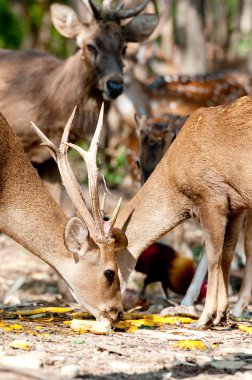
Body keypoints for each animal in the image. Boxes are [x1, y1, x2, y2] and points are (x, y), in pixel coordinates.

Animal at [112, 95, 252, 330]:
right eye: (138, 162)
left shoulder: (212, 197)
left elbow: (213, 258)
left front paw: (205, 318)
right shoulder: (236, 205)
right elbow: (226, 257)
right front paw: (222, 316)